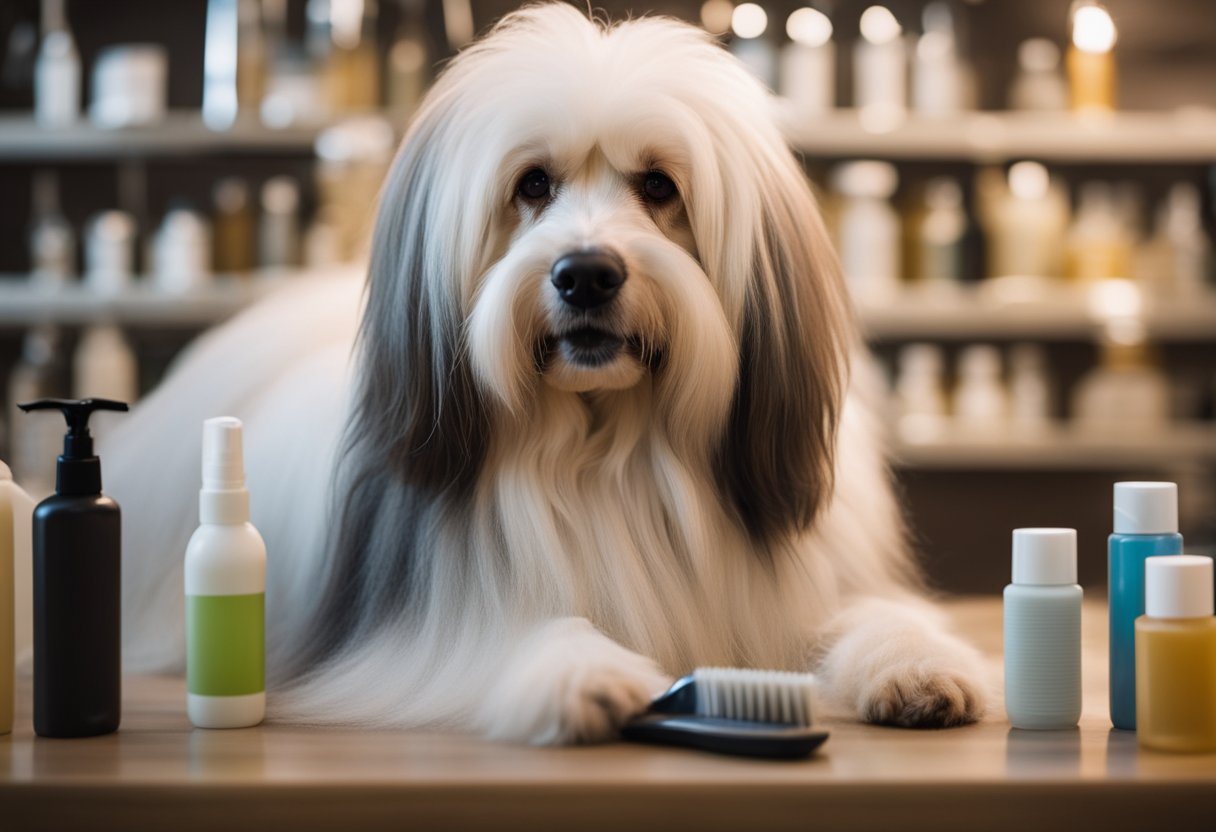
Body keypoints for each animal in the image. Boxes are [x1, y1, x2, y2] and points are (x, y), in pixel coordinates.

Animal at [109, 3, 987, 744]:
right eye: (532, 183)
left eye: (659, 185)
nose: (586, 274)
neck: (610, 445)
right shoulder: (416, 636)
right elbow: (501, 632)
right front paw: (584, 670)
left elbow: (871, 614)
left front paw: (915, 663)